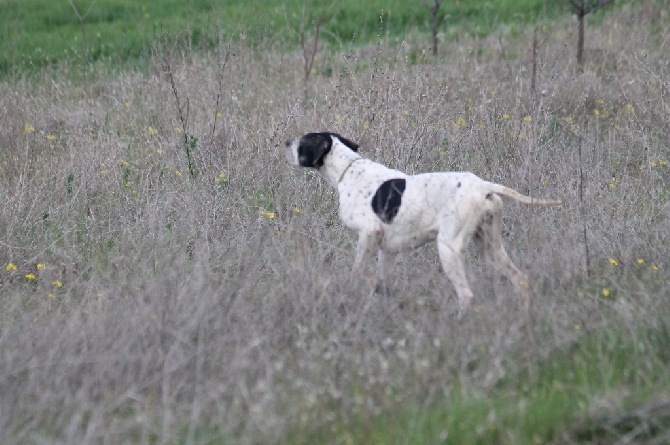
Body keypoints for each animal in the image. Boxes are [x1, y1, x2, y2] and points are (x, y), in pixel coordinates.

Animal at [284, 132, 560, 316]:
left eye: (303, 141)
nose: (285, 142)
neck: (348, 170)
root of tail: (483, 186)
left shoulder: (369, 234)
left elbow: (359, 272)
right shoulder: (387, 250)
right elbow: (382, 283)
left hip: (448, 248)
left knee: (467, 296)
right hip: (491, 247)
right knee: (520, 280)